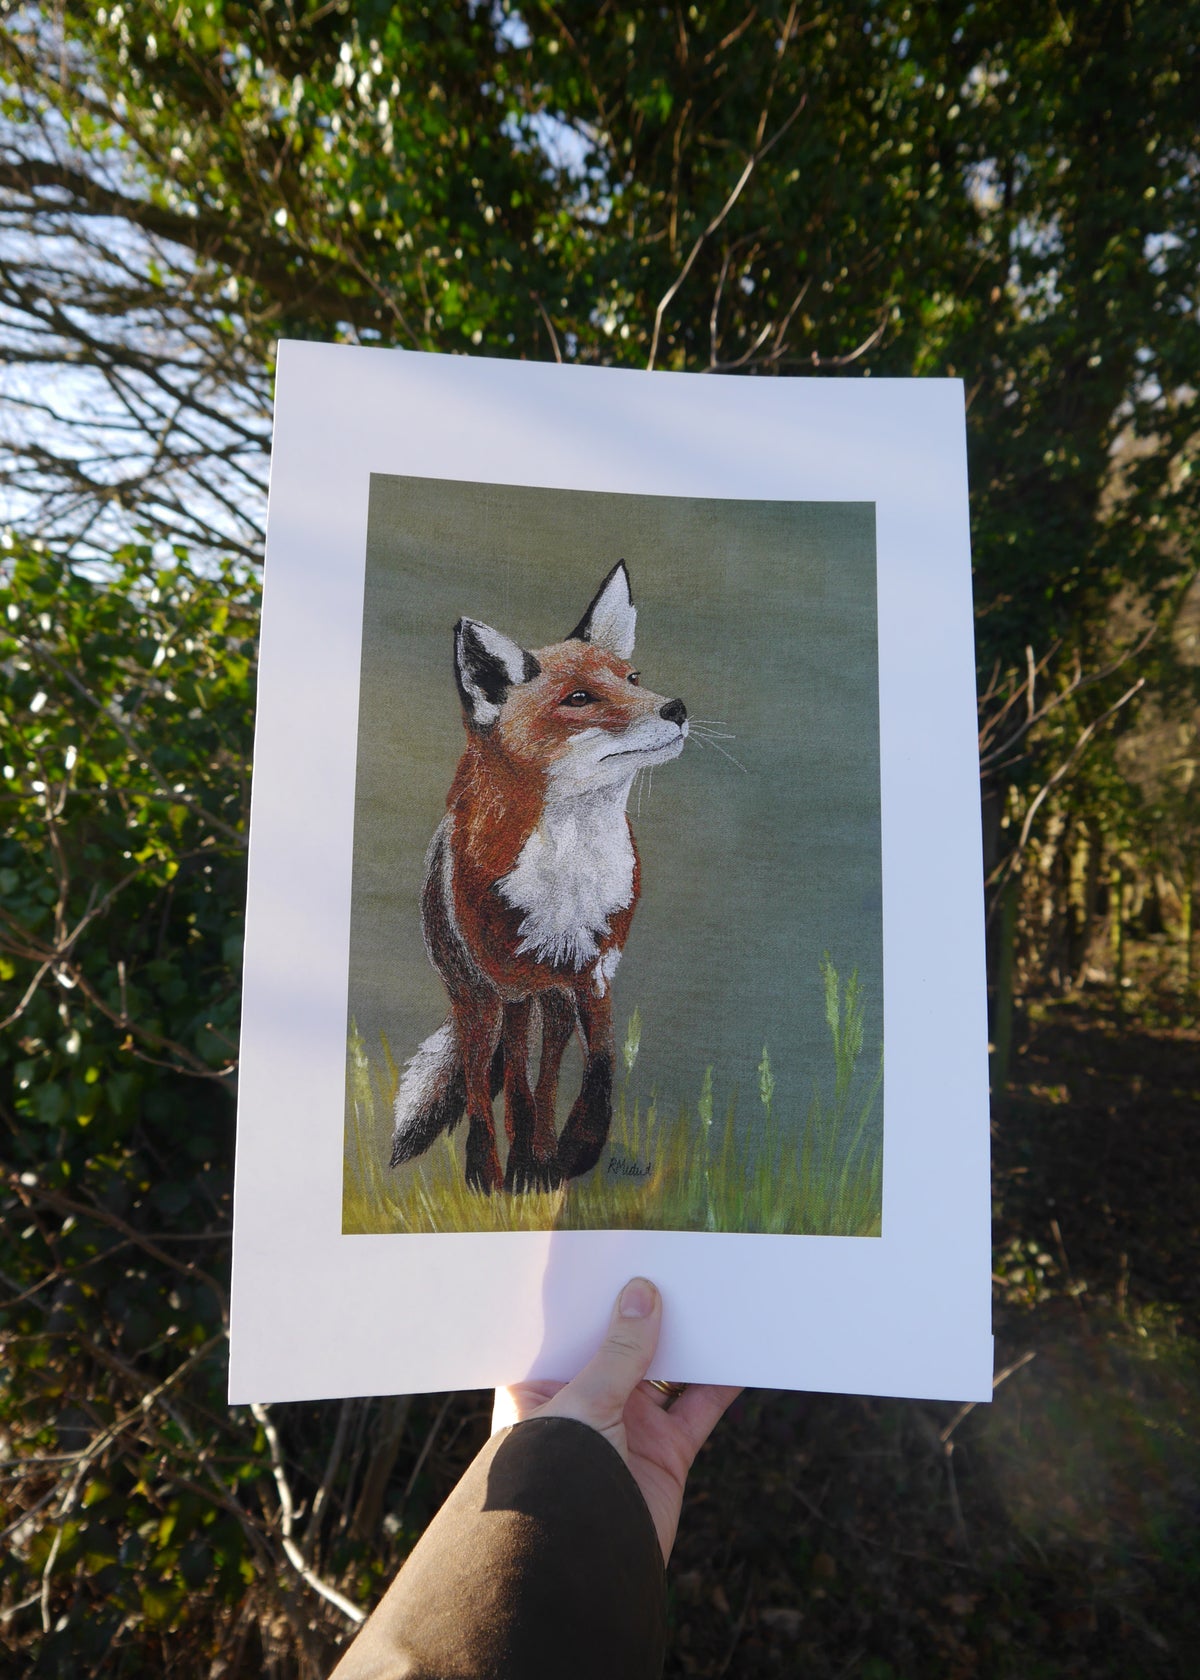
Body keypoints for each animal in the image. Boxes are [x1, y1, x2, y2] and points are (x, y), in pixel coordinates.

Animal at [388, 561, 688, 1193]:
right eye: (579, 698)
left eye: (634, 678)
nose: (675, 708)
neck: (569, 878)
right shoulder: (512, 984)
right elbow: (515, 1088)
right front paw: (519, 1169)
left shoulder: (594, 972)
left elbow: (597, 1063)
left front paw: (574, 1148)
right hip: (478, 1000)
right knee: (483, 1080)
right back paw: (489, 1172)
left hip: (552, 997)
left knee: (544, 1069)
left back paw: (543, 1158)